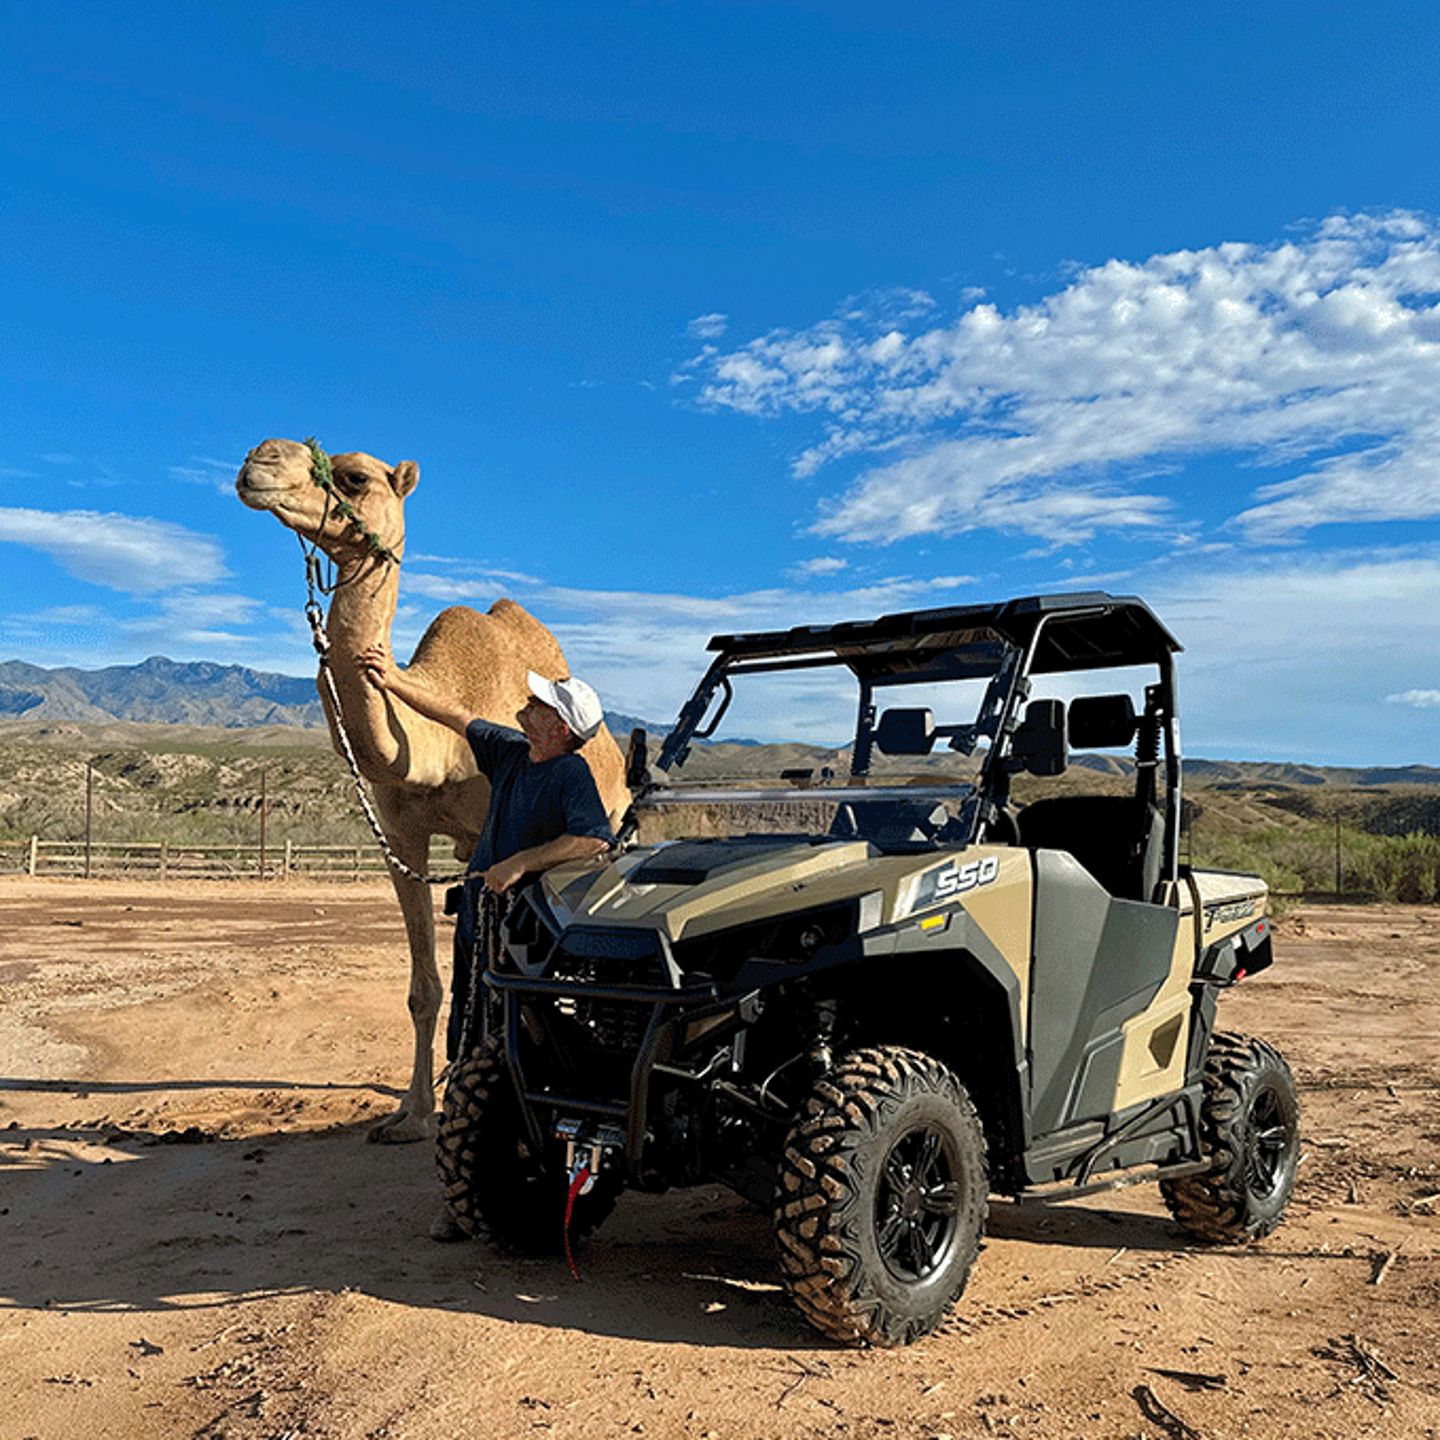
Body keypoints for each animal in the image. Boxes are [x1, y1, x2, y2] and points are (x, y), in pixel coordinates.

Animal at [235, 437, 629, 1141]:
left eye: (355, 478)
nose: (260, 460)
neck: (438, 743)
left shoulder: (496, 842)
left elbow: (495, 979)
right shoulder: (402, 838)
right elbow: (425, 988)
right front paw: (412, 1114)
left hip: (605, 831)